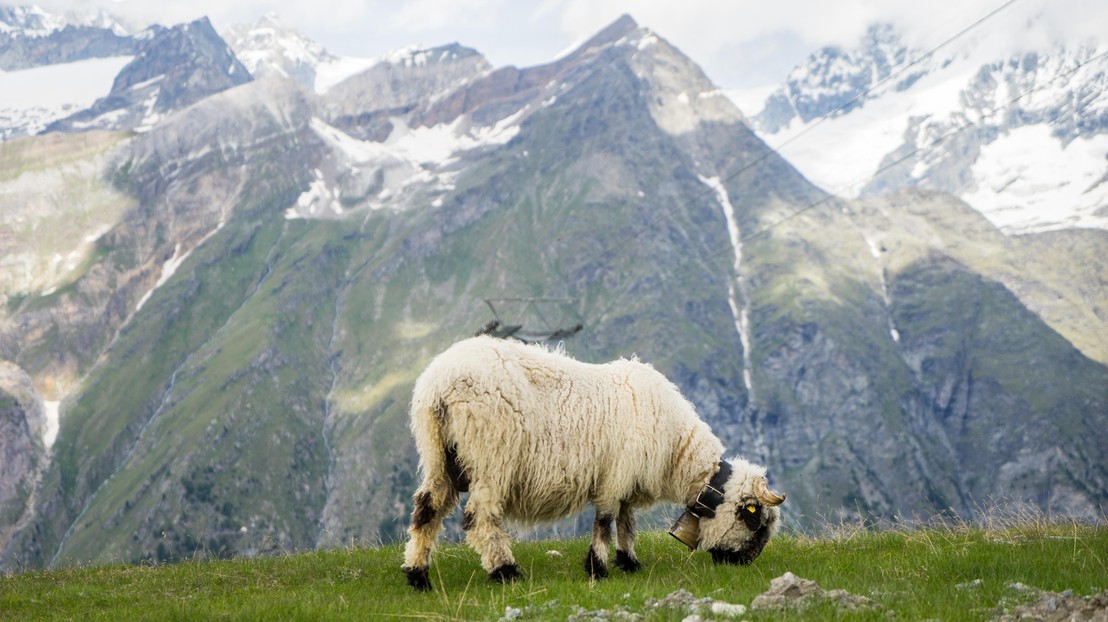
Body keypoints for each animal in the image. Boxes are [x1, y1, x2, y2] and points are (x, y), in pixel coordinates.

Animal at [398, 337, 780, 589]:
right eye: (754, 520)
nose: (744, 565)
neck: (677, 451)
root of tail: (439, 385)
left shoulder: (628, 481)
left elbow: (627, 523)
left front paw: (629, 563)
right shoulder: (615, 476)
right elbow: (605, 522)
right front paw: (598, 568)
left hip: (439, 456)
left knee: (426, 508)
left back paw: (417, 575)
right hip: (492, 456)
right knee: (479, 518)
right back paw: (505, 571)